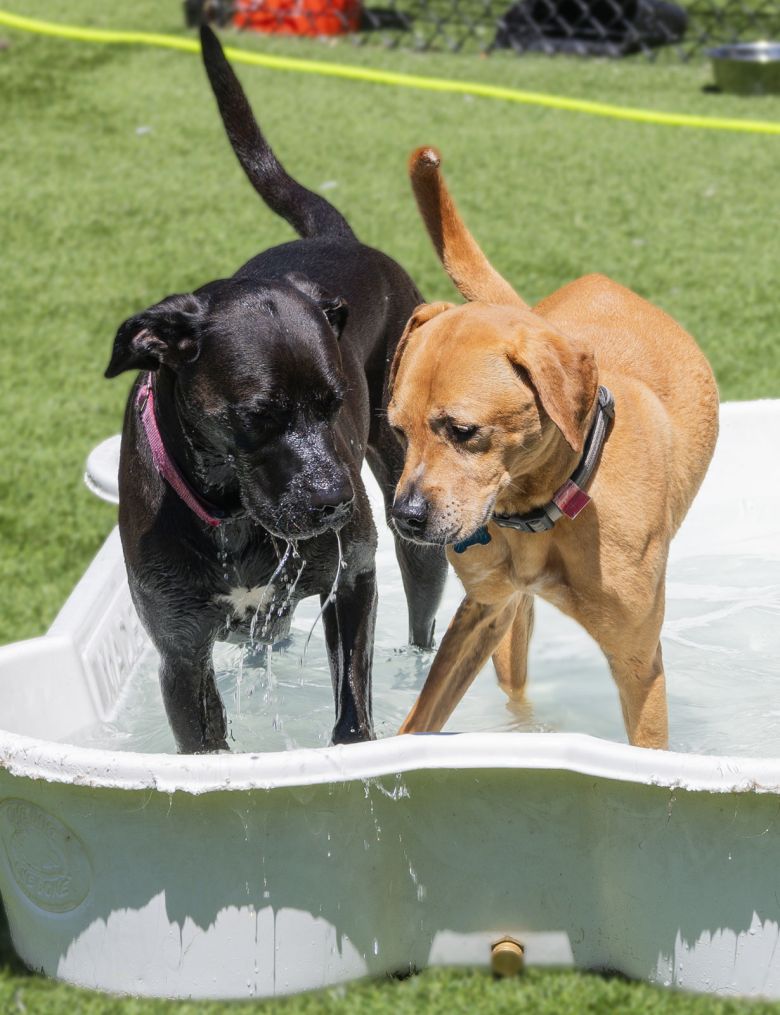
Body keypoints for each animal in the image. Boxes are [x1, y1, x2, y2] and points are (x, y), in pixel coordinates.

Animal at [103, 25, 444, 755]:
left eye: (335, 402)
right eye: (257, 414)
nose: (334, 503)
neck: (229, 511)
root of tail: (339, 238)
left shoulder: (353, 576)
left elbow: (353, 710)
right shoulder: (181, 651)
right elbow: (206, 742)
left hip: (410, 517)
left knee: (422, 619)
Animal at [390, 147, 719, 751]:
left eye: (463, 430)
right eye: (399, 432)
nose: (405, 517)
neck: (547, 505)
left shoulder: (639, 661)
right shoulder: (484, 610)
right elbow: (418, 722)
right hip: (503, 627)